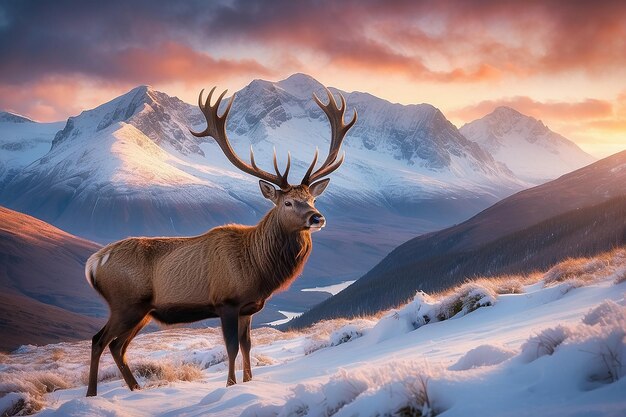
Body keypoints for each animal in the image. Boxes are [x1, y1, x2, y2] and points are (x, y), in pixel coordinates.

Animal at [83, 85, 356, 396]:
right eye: (287, 202)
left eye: (312, 199)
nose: (317, 218)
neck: (258, 269)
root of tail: (94, 263)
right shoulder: (226, 301)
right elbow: (232, 348)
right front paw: (229, 384)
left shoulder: (249, 308)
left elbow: (248, 346)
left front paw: (248, 381)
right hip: (125, 303)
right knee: (99, 340)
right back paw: (92, 394)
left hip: (141, 311)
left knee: (118, 346)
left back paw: (135, 389)